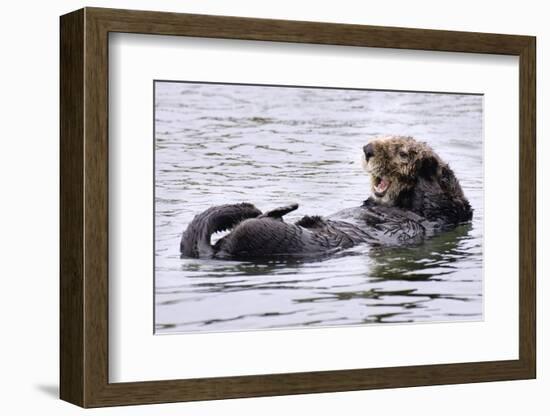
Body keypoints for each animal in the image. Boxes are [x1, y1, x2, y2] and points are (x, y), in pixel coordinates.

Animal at [180, 136, 474, 260]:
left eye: (399, 151)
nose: (368, 149)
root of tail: (217, 252)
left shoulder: (443, 214)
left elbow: (441, 196)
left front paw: (426, 163)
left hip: (271, 238)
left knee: (255, 226)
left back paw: (279, 210)